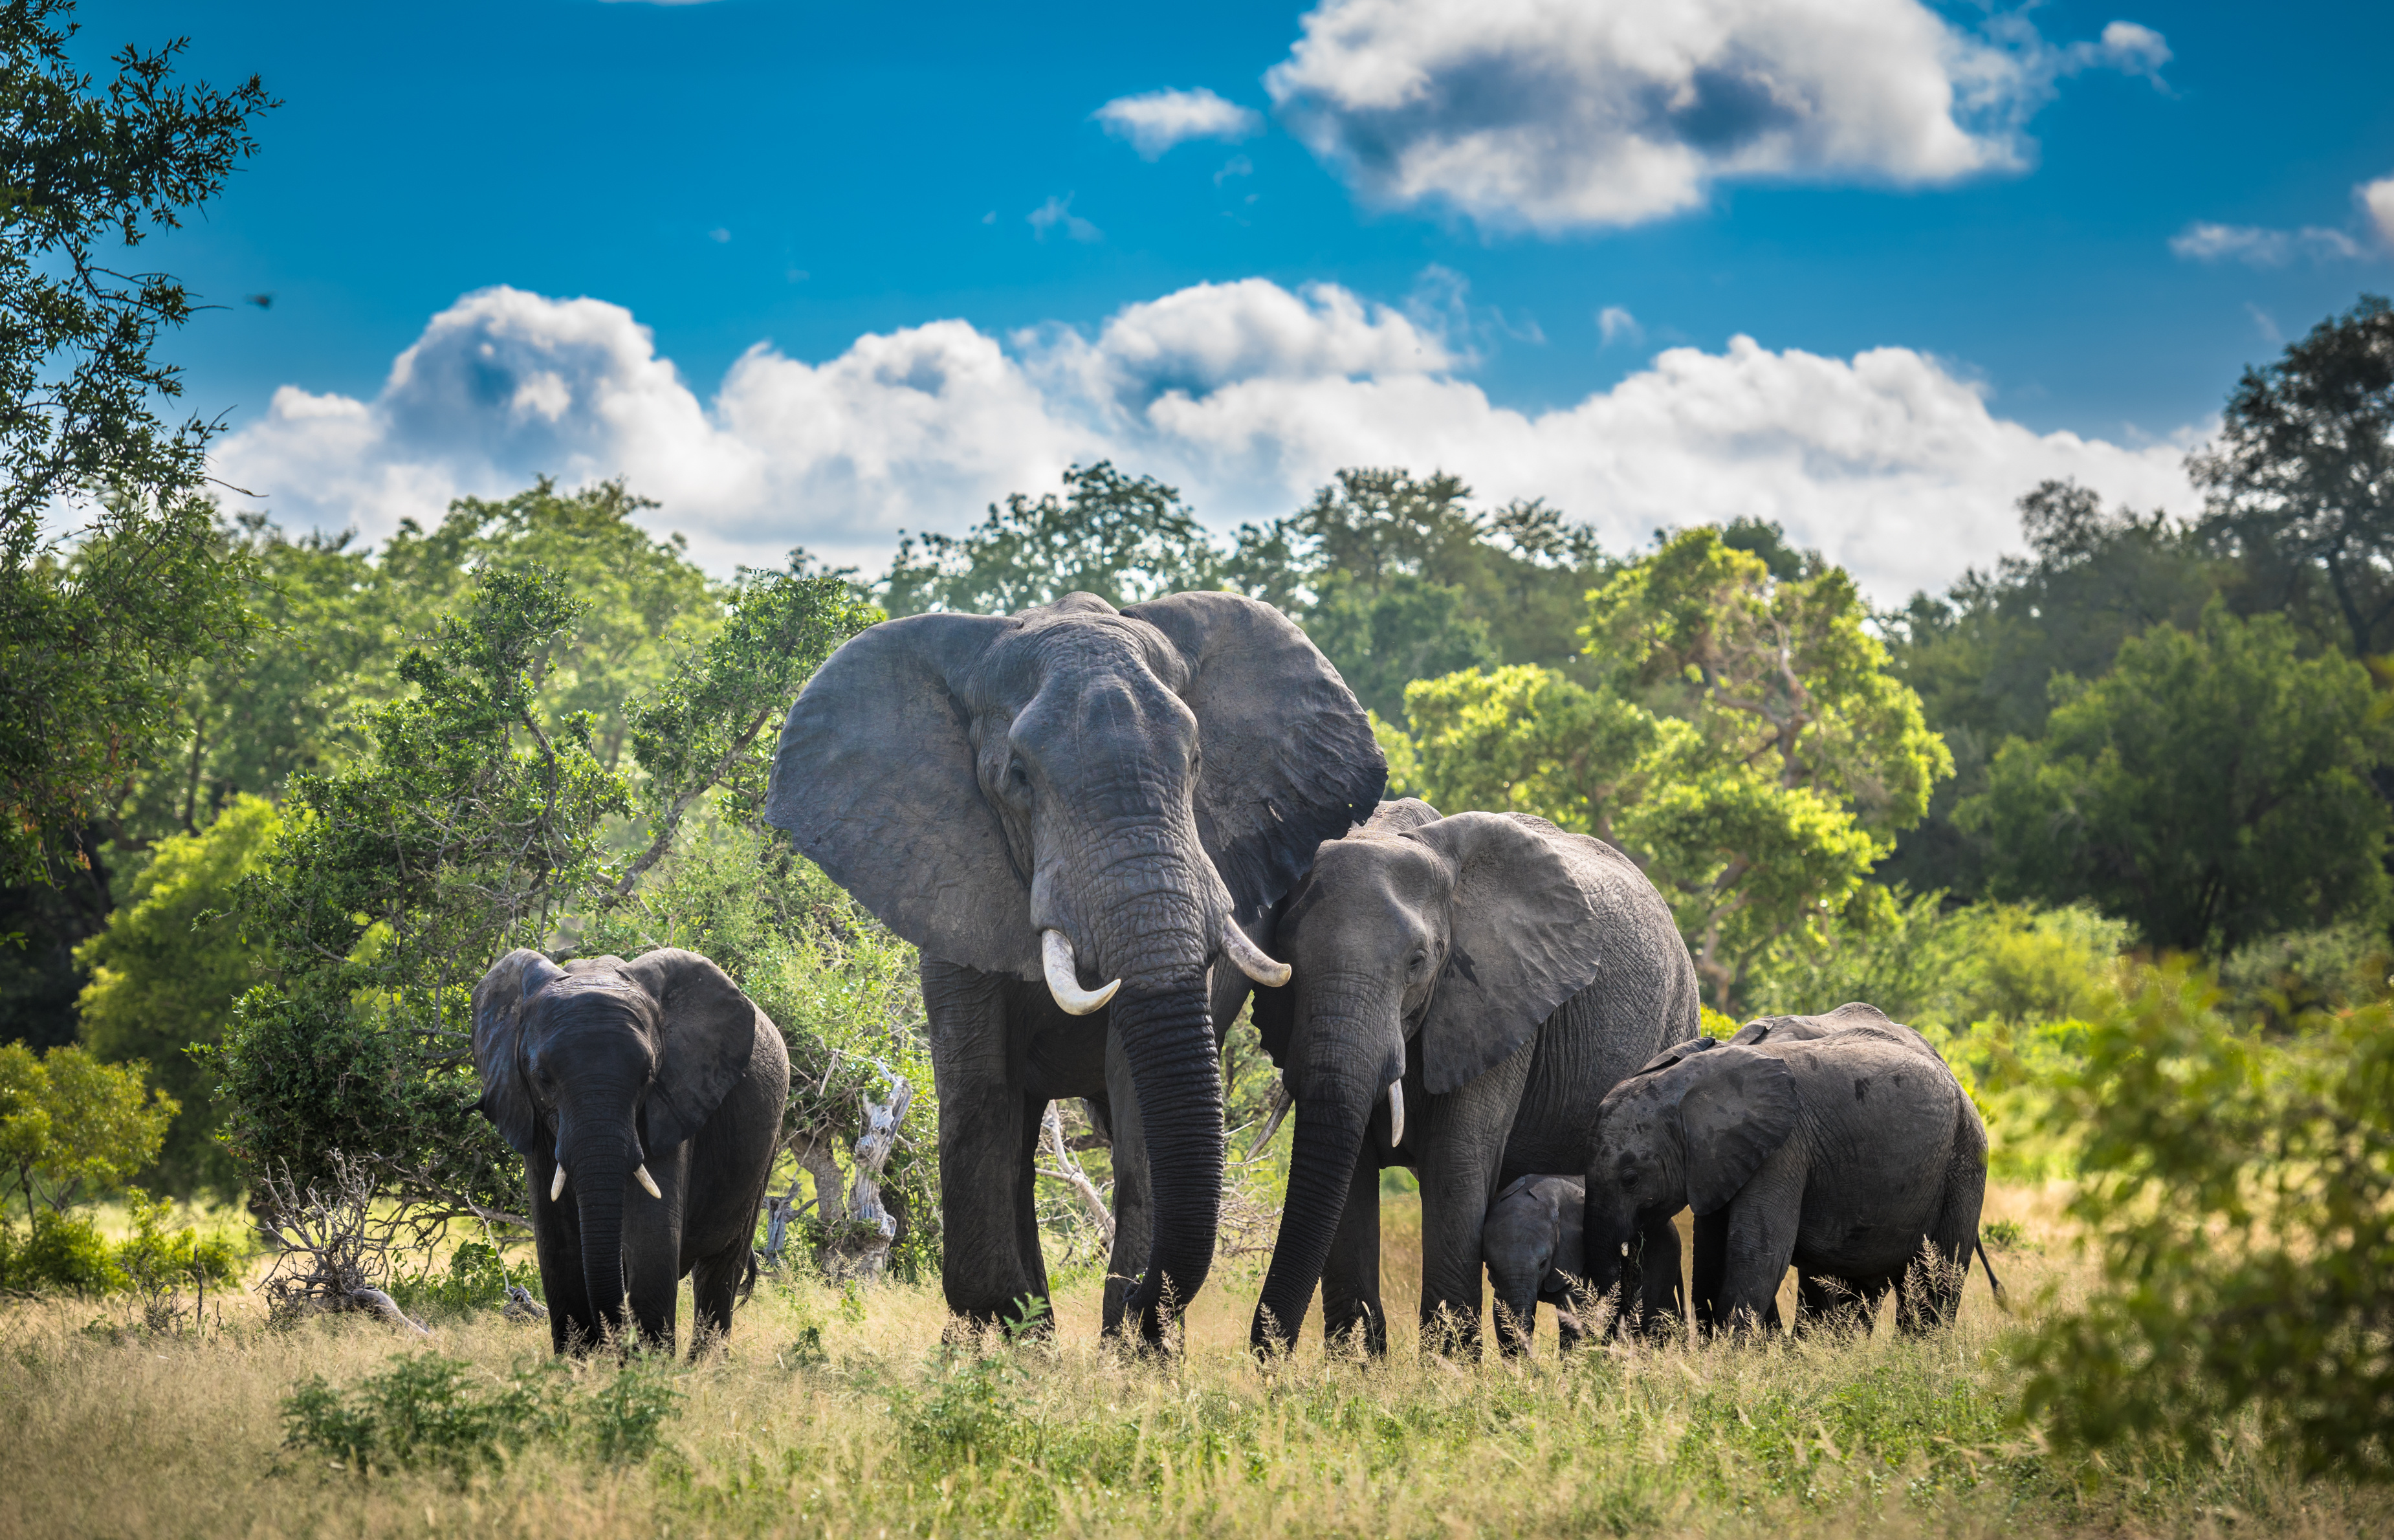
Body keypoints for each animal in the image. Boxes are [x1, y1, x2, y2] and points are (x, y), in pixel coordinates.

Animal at [471, 943, 790, 1360]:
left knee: (720, 1268)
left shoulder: (673, 1104)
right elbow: (557, 1240)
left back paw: (705, 1368)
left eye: (648, 1077)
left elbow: (651, 1235)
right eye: (543, 1079)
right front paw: (577, 1364)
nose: (618, 1349)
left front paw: (649, 1367)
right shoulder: (532, 1118)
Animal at [756, 591, 1379, 1341]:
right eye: (1018, 777)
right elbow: (979, 1093)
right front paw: (1014, 1339)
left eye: (1197, 760)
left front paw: (1131, 1345)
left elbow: (1139, 1094)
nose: (1142, 1300)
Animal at [1589, 1006, 2001, 1331]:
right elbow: (1711, 1252)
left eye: (1630, 1179)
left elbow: (1757, 1254)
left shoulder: (1783, 1150)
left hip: (1963, 1162)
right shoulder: (1718, 1161)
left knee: (1935, 1281)